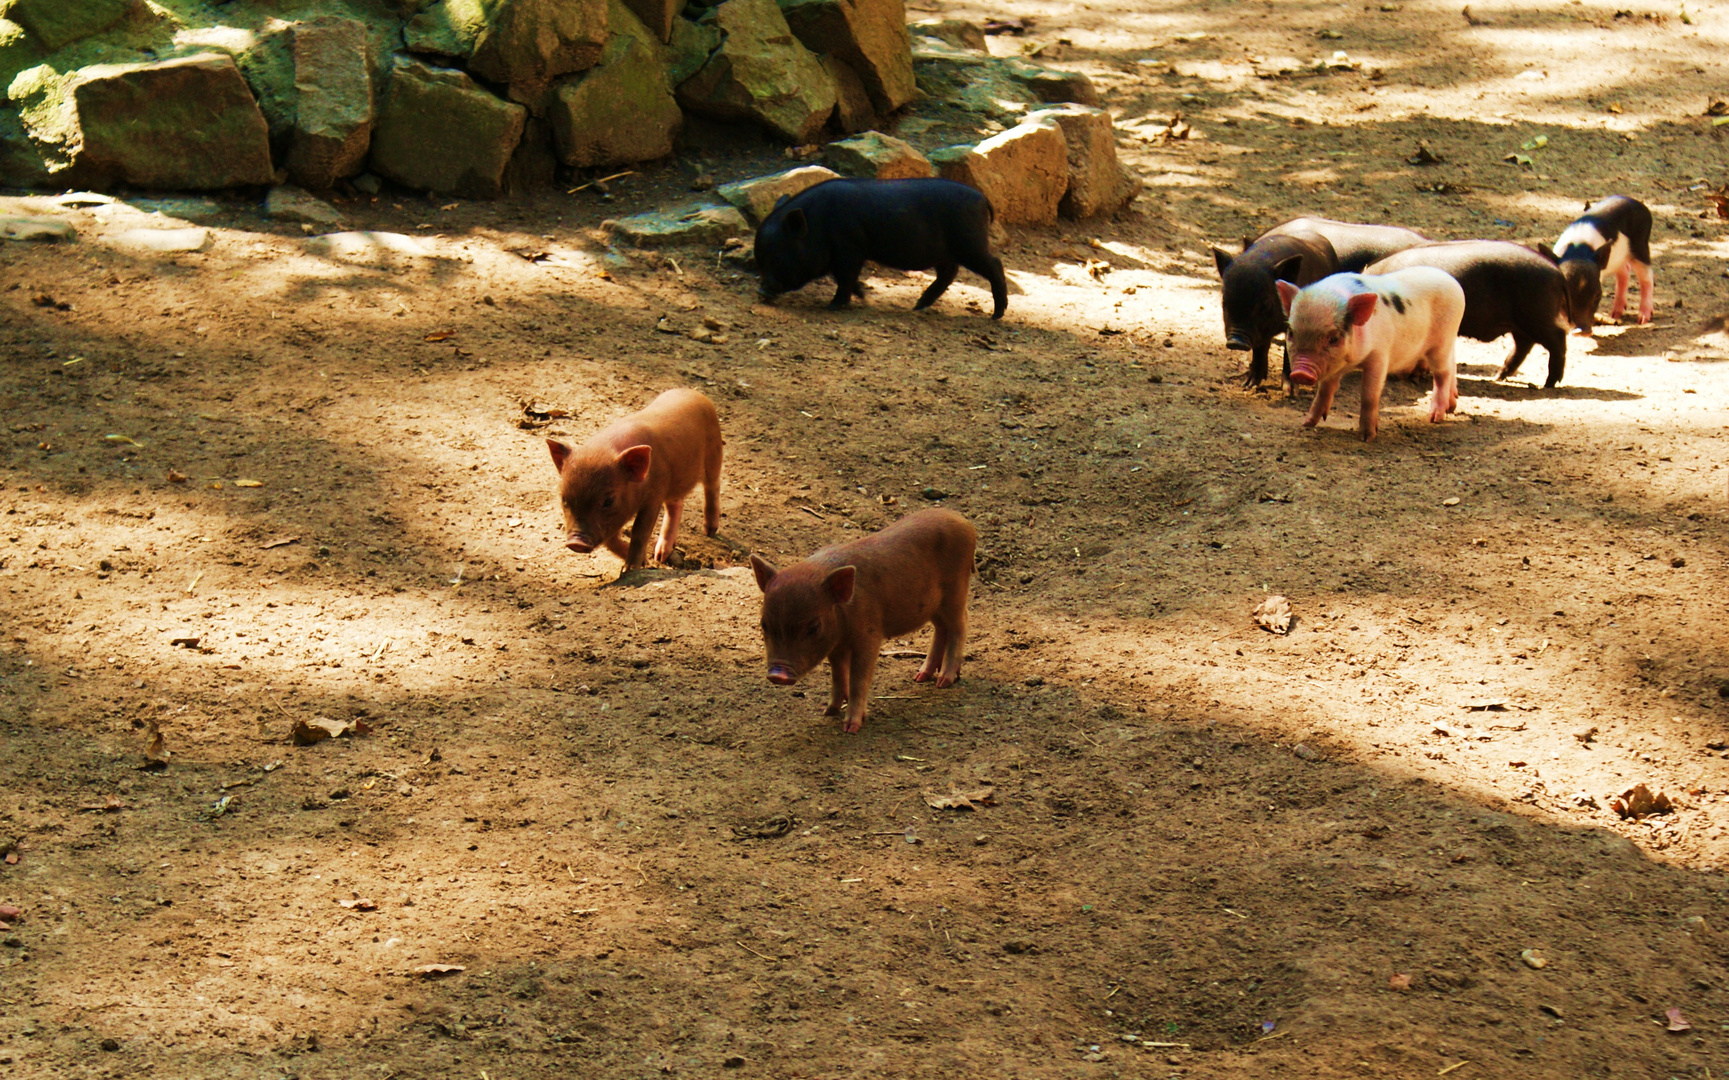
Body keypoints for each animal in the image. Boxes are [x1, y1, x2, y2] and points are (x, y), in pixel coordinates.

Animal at [750, 177, 1009, 317]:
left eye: (776, 256)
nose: (761, 291)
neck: (818, 224)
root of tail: (982, 198)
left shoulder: (850, 248)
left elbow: (845, 277)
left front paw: (833, 306)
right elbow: (844, 277)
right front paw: (863, 296)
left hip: (970, 243)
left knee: (995, 265)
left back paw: (997, 315)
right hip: (947, 252)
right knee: (949, 272)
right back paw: (918, 306)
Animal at [1210, 229, 1341, 388]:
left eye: (1265, 304)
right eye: (1224, 300)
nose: (1236, 342)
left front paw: (1289, 391)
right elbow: (1260, 349)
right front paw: (1249, 386)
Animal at [1369, 240, 1576, 387]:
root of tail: (1557, 273)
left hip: (1537, 316)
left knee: (1558, 341)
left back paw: (1548, 384)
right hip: (1522, 324)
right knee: (1524, 347)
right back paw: (1498, 377)